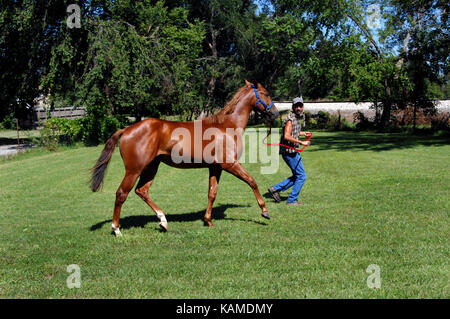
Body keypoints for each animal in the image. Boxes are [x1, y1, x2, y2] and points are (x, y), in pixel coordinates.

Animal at [89, 80, 278, 235]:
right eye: (266, 93)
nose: (275, 113)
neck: (226, 126)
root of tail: (126, 129)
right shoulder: (230, 164)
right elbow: (252, 181)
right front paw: (265, 211)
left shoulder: (215, 167)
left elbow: (212, 193)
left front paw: (208, 221)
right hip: (134, 170)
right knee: (122, 193)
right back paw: (116, 229)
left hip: (151, 167)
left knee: (141, 191)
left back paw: (163, 222)